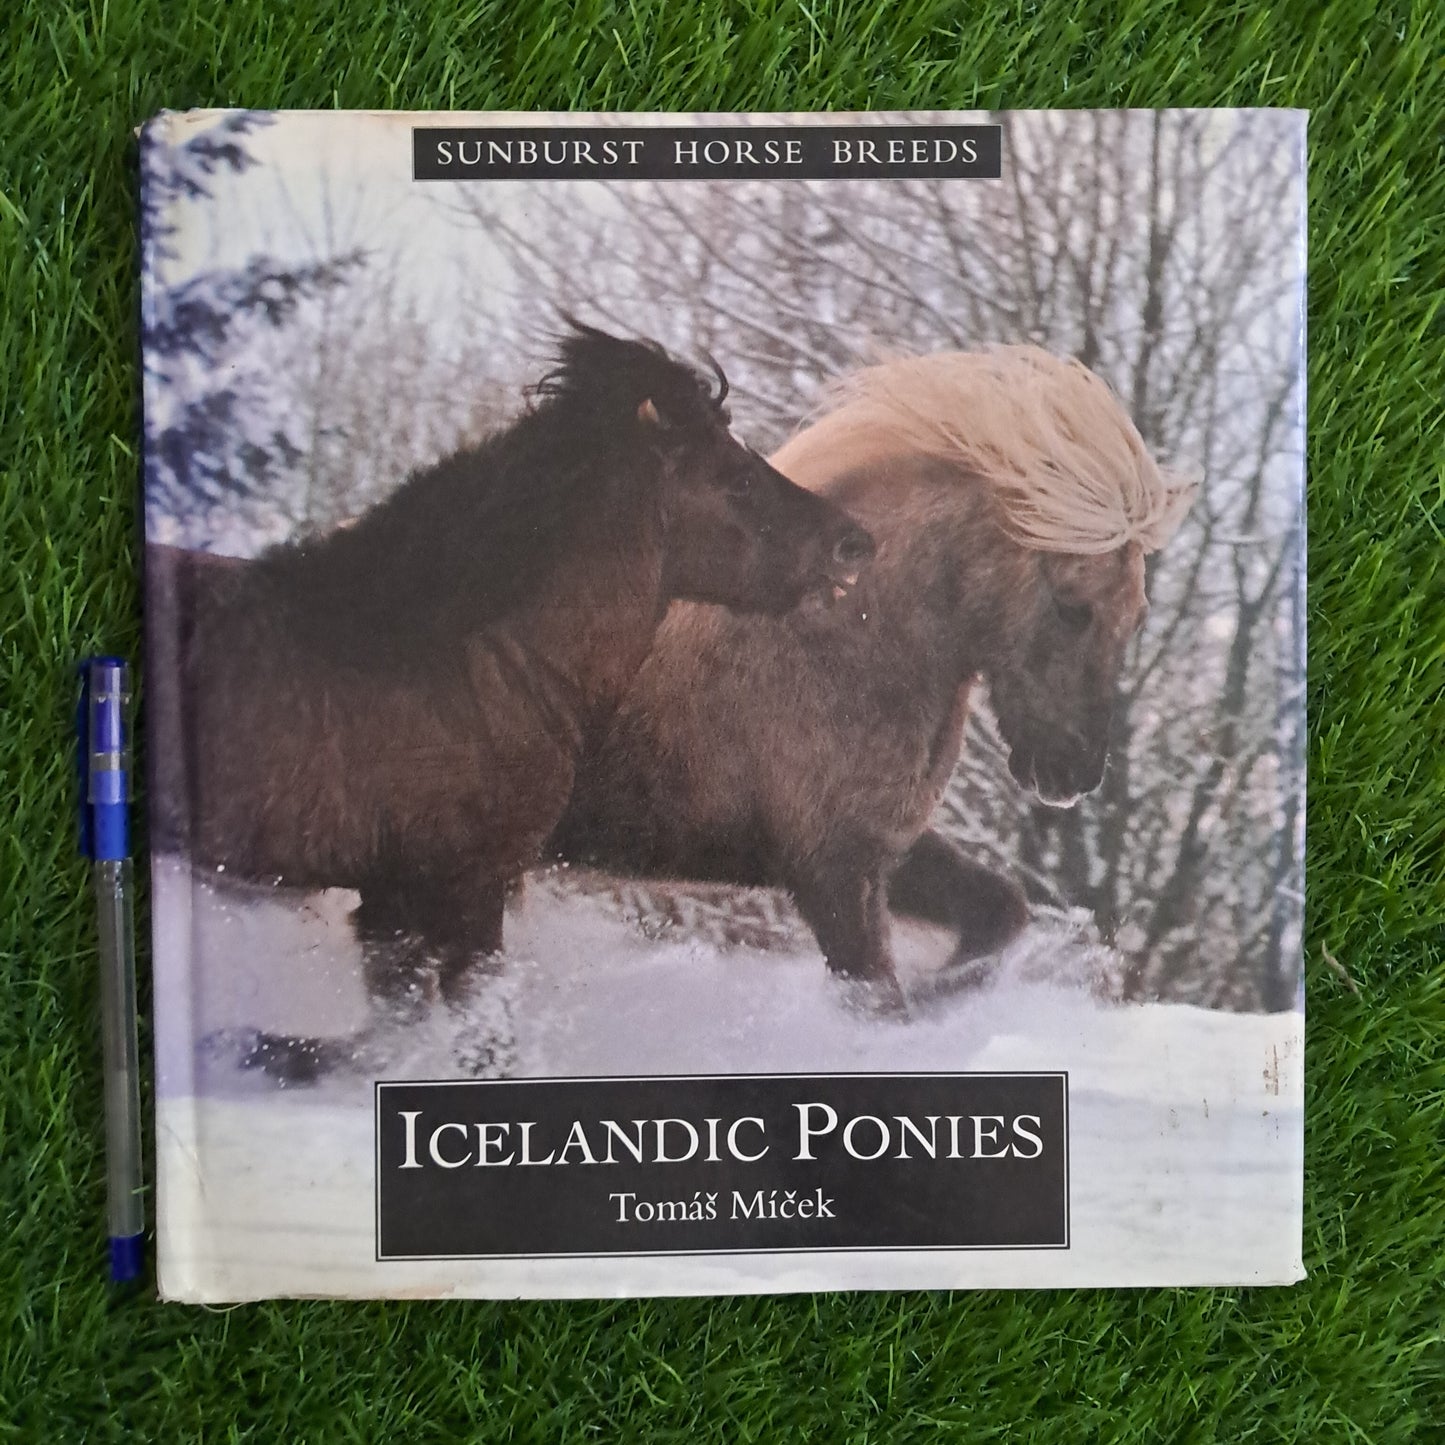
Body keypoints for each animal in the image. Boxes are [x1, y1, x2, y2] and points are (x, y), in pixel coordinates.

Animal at [147, 322, 875, 1074]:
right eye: (736, 478)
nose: (854, 543)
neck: (478, 663)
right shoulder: (463, 887)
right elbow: (482, 1037)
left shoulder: (388, 899)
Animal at [551, 346, 1194, 1008]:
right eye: (1072, 608)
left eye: (1137, 618)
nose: (1074, 775)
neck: (841, 641)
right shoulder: (834, 872)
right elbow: (882, 995)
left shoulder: (886, 848)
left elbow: (1000, 913)